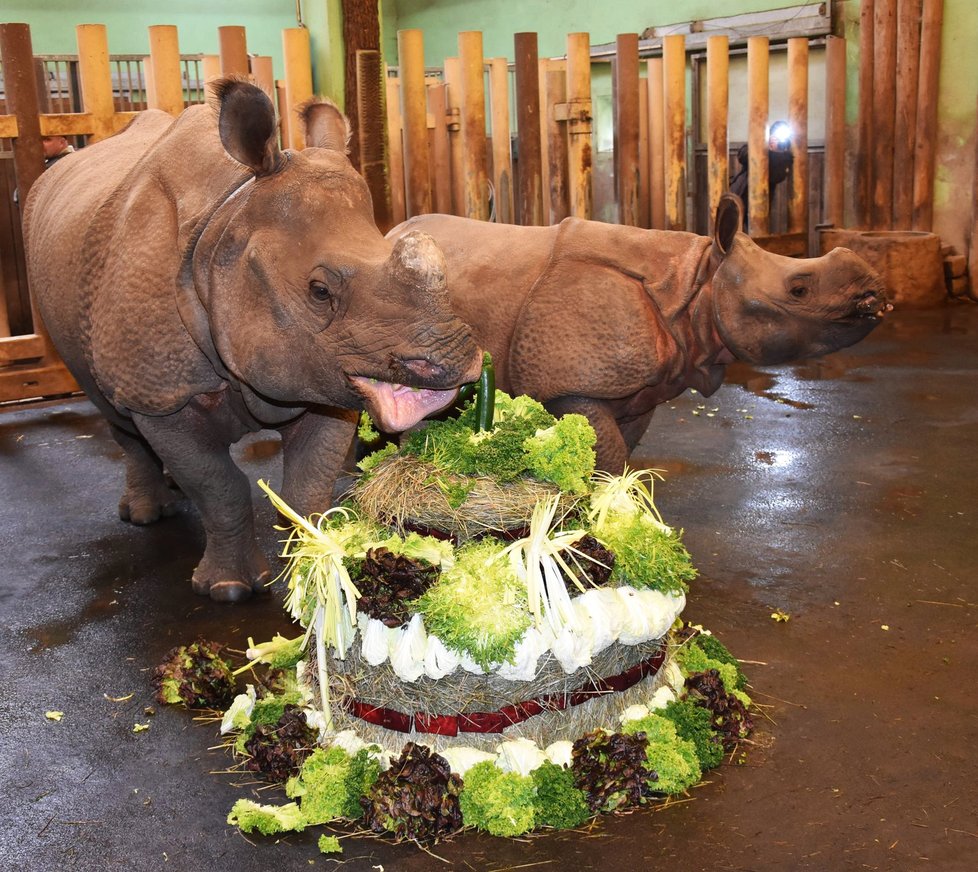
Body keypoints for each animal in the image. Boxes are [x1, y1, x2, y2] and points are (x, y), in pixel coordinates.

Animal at [22, 82, 480, 600]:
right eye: (319, 292)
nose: (456, 361)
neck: (227, 228)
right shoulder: (162, 393)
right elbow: (219, 486)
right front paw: (229, 590)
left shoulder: (323, 375)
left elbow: (308, 487)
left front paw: (310, 570)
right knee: (115, 413)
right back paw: (145, 515)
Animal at [388, 194, 884, 474]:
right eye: (798, 289)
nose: (876, 296)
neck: (694, 284)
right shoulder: (574, 387)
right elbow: (603, 456)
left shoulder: (639, 391)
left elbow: (620, 455)